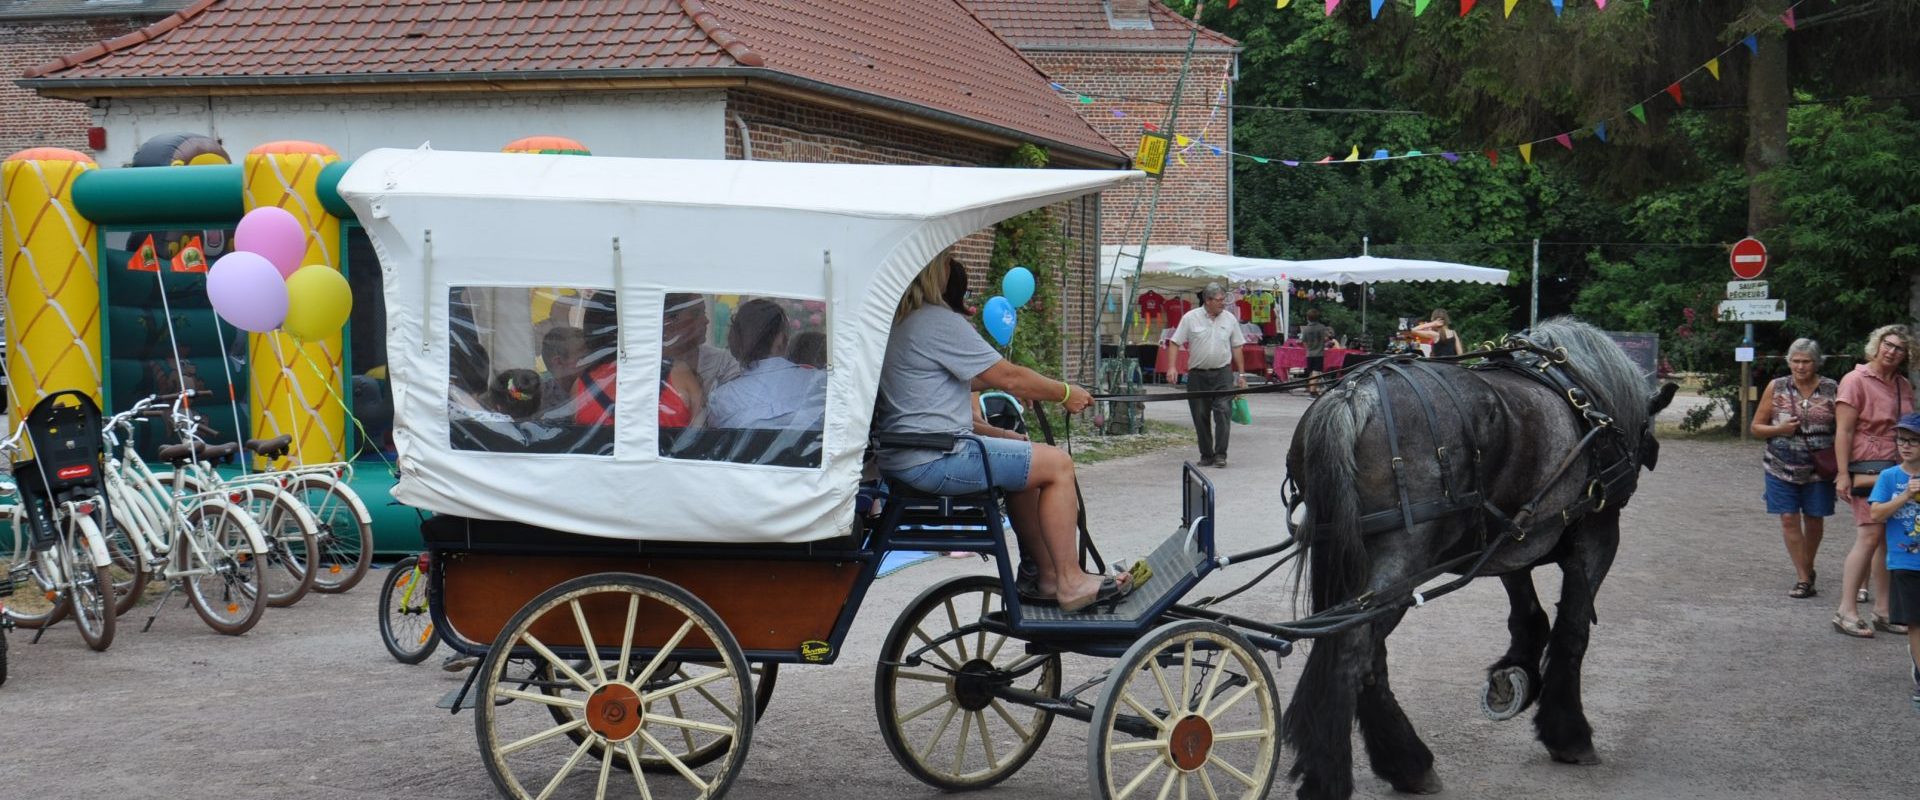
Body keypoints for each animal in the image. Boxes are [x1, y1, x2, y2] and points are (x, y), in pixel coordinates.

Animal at [1282, 316, 1674, 798]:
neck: (1584, 393)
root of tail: (1354, 394)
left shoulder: (1511, 535)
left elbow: (1528, 614)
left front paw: (1514, 675)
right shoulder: (1598, 532)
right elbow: (1573, 628)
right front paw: (1568, 733)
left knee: (1365, 651)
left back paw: (1405, 763)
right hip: (1401, 561)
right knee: (1353, 647)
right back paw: (1334, 775)